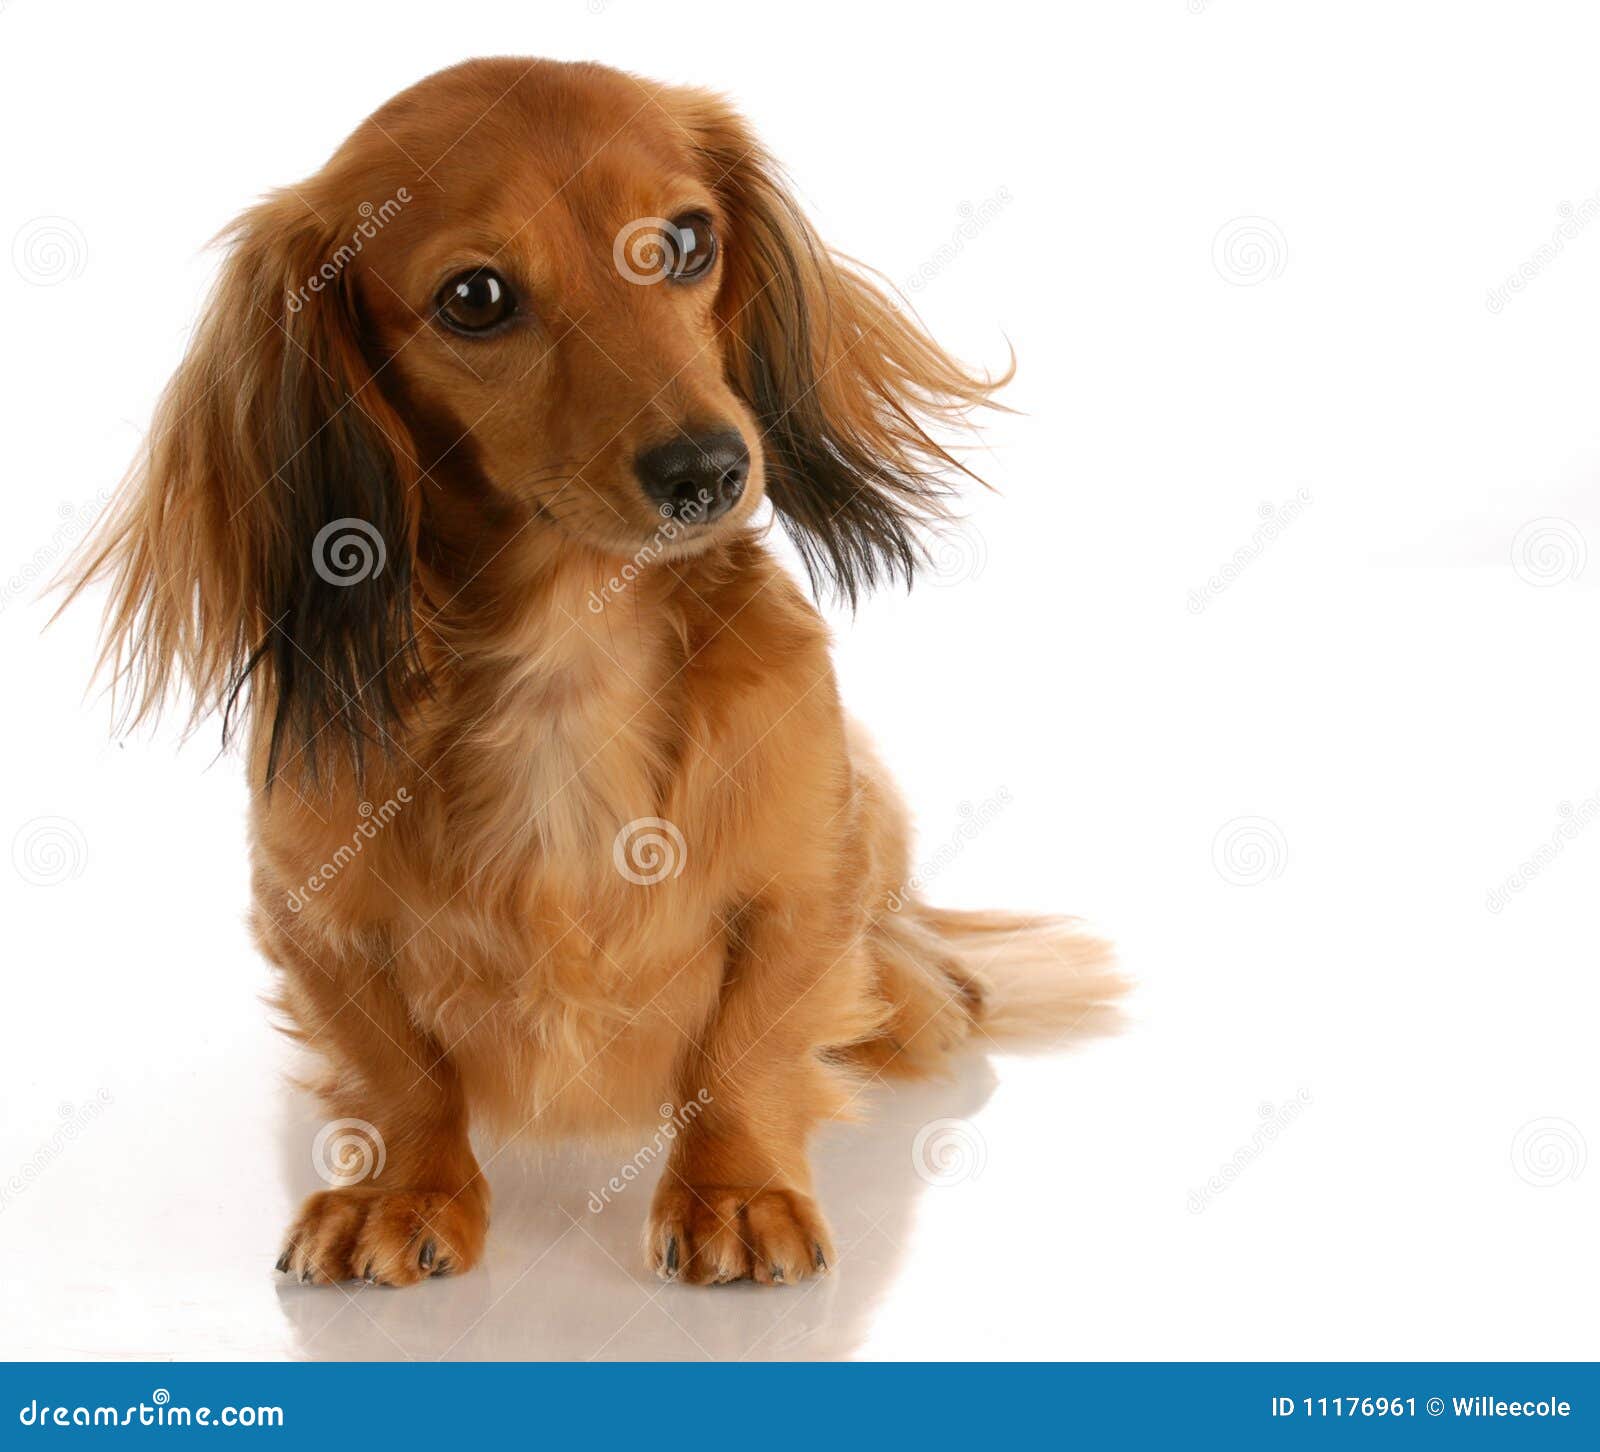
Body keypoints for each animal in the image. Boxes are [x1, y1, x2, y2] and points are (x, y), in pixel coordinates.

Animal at [65, 56, 1126, 1285]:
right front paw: (401, 1191)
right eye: (475, 298)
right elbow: (395, 1066)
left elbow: (750, 1041)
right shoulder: (309, 908)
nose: (709, 471)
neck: (570, 655)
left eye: (685, 240)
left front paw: (736, 1190)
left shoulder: (806, 879)